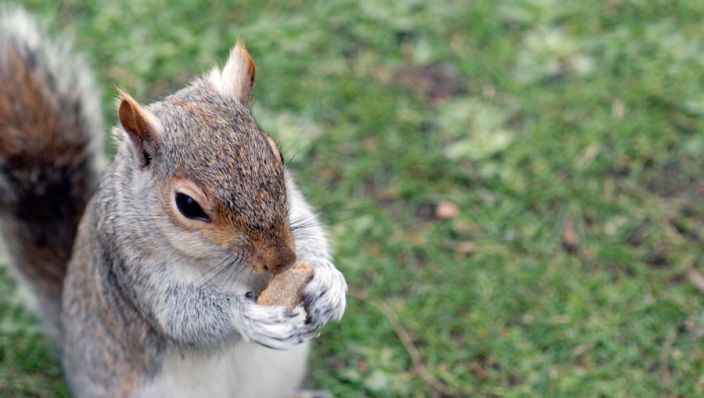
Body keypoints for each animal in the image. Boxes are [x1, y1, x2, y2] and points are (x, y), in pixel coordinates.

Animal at [0, 7, 346, 398]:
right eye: (188, 205)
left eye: (278, 154)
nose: (283, 260)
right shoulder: (132, 267)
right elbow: (180, 316)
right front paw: (246, 317)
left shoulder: (296, 208)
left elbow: (311, 232)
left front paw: (329, 281)